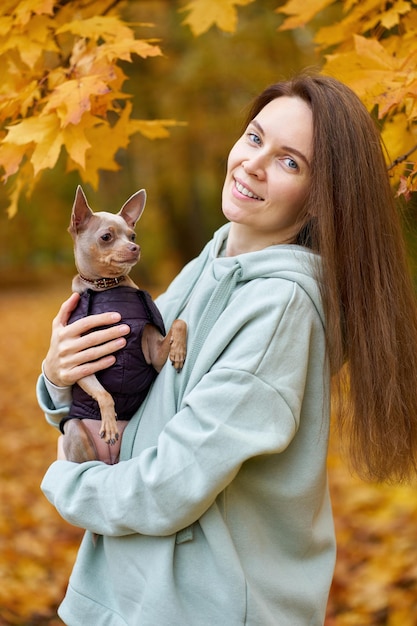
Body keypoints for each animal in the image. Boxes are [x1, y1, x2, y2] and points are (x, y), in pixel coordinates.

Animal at [61, 185, 186, 464]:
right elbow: (105, 394)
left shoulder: (153, 354)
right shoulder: (80, 363)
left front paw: (178, 351)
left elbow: (179, 322)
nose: (135, 247)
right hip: (75, 431)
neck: (108, 287)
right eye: (106, 237)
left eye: (132, 235)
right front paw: (108, 422)